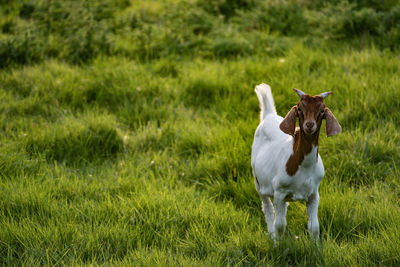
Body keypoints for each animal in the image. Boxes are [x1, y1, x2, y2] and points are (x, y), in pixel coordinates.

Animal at [250, 84, 340, 241]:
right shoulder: (279, 192)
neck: (304, 167)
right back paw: (271, 235)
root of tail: (269, 115)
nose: (309, 125)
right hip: (259, 183)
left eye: (322, 111)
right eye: (299, 109)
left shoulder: (314, 194)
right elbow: (280, 225)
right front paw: (278, 244)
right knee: (267, 209)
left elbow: (314, 227)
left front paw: (316, 246)